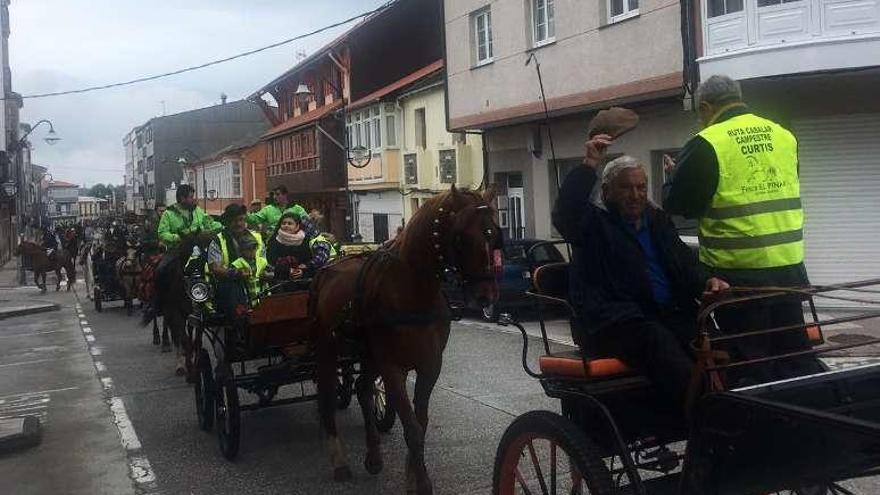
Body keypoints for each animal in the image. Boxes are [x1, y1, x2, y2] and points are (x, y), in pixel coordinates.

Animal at [312, 188, 498, 494]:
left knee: (363, 389)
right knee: (327, 397)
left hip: (368, 354)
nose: (487, 295)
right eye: (461, 237)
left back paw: (374, 456)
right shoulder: (392, 368)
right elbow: (411, 426)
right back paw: (339, 461)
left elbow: (420, 422)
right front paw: (421, 481)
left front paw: (413, 475)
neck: (412, 293)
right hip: (328, 350)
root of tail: (328, 268)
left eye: (493, 233)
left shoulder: (429, 366)